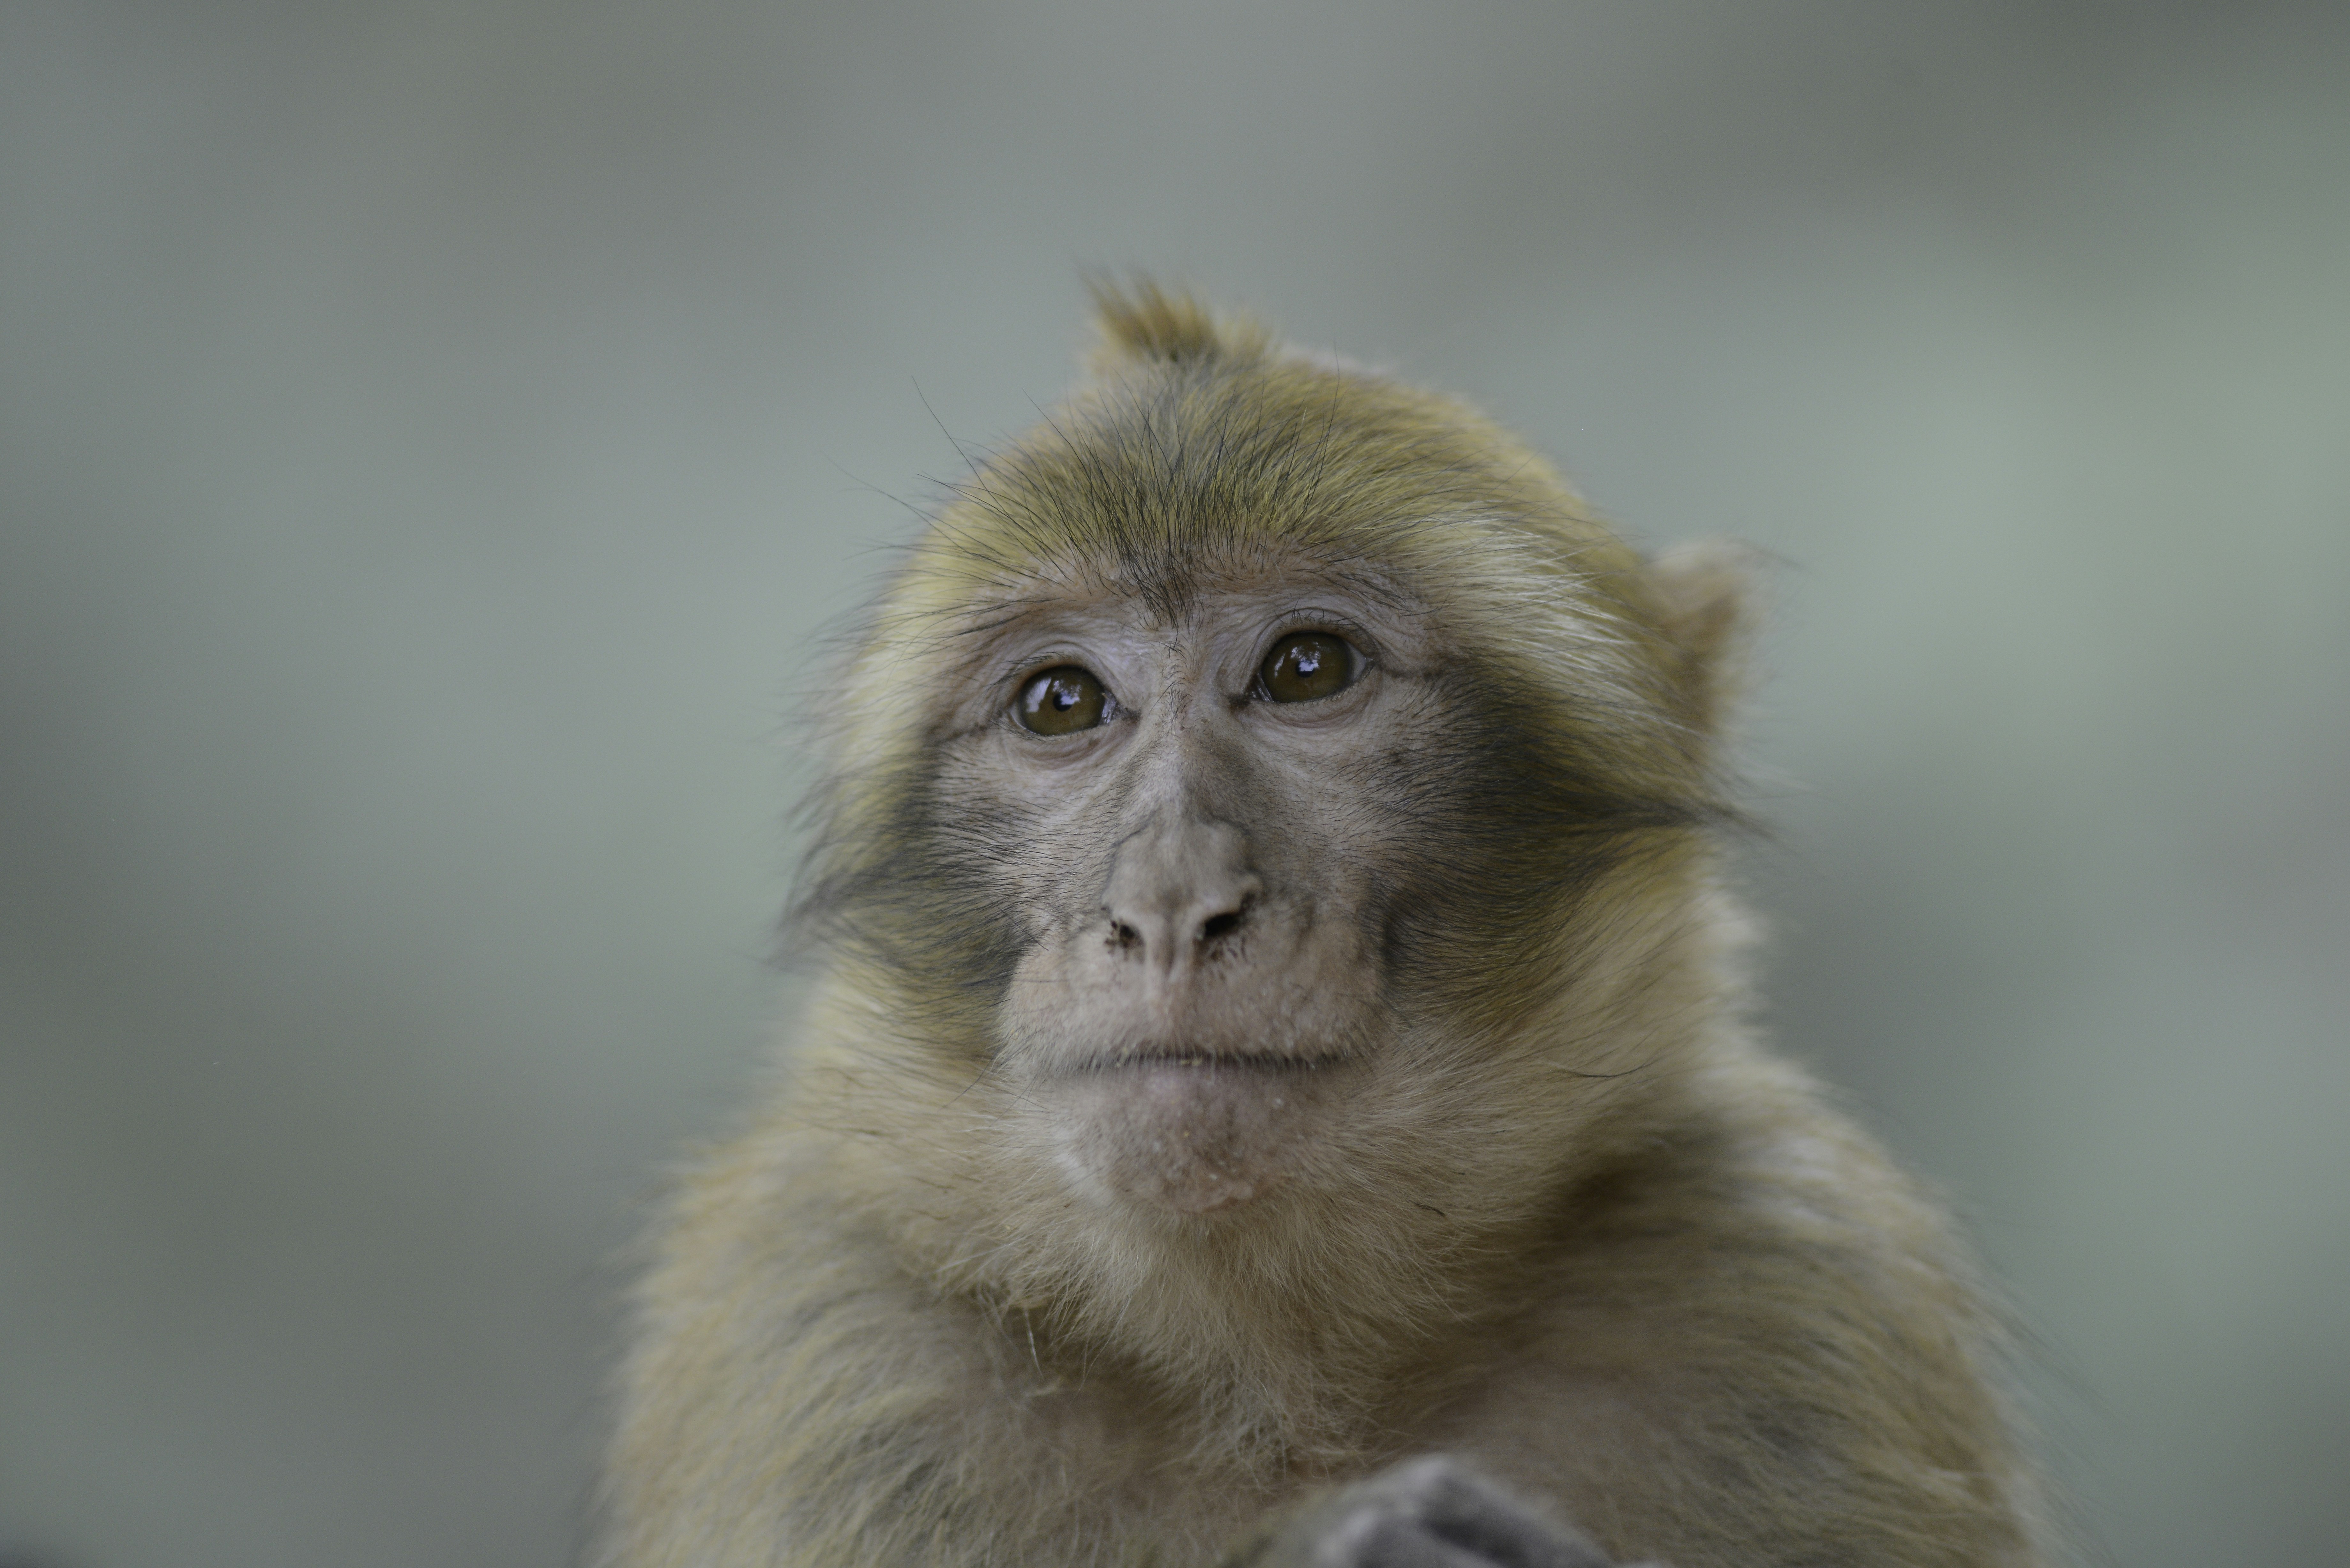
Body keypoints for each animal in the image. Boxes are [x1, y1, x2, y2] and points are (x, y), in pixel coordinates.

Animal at [597, 283, 2052, 1568]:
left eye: (1308, 669)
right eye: (1062, 702)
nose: (1167, 900)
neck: (1279, 1371)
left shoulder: (1797, 1284)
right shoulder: (818, 1335)